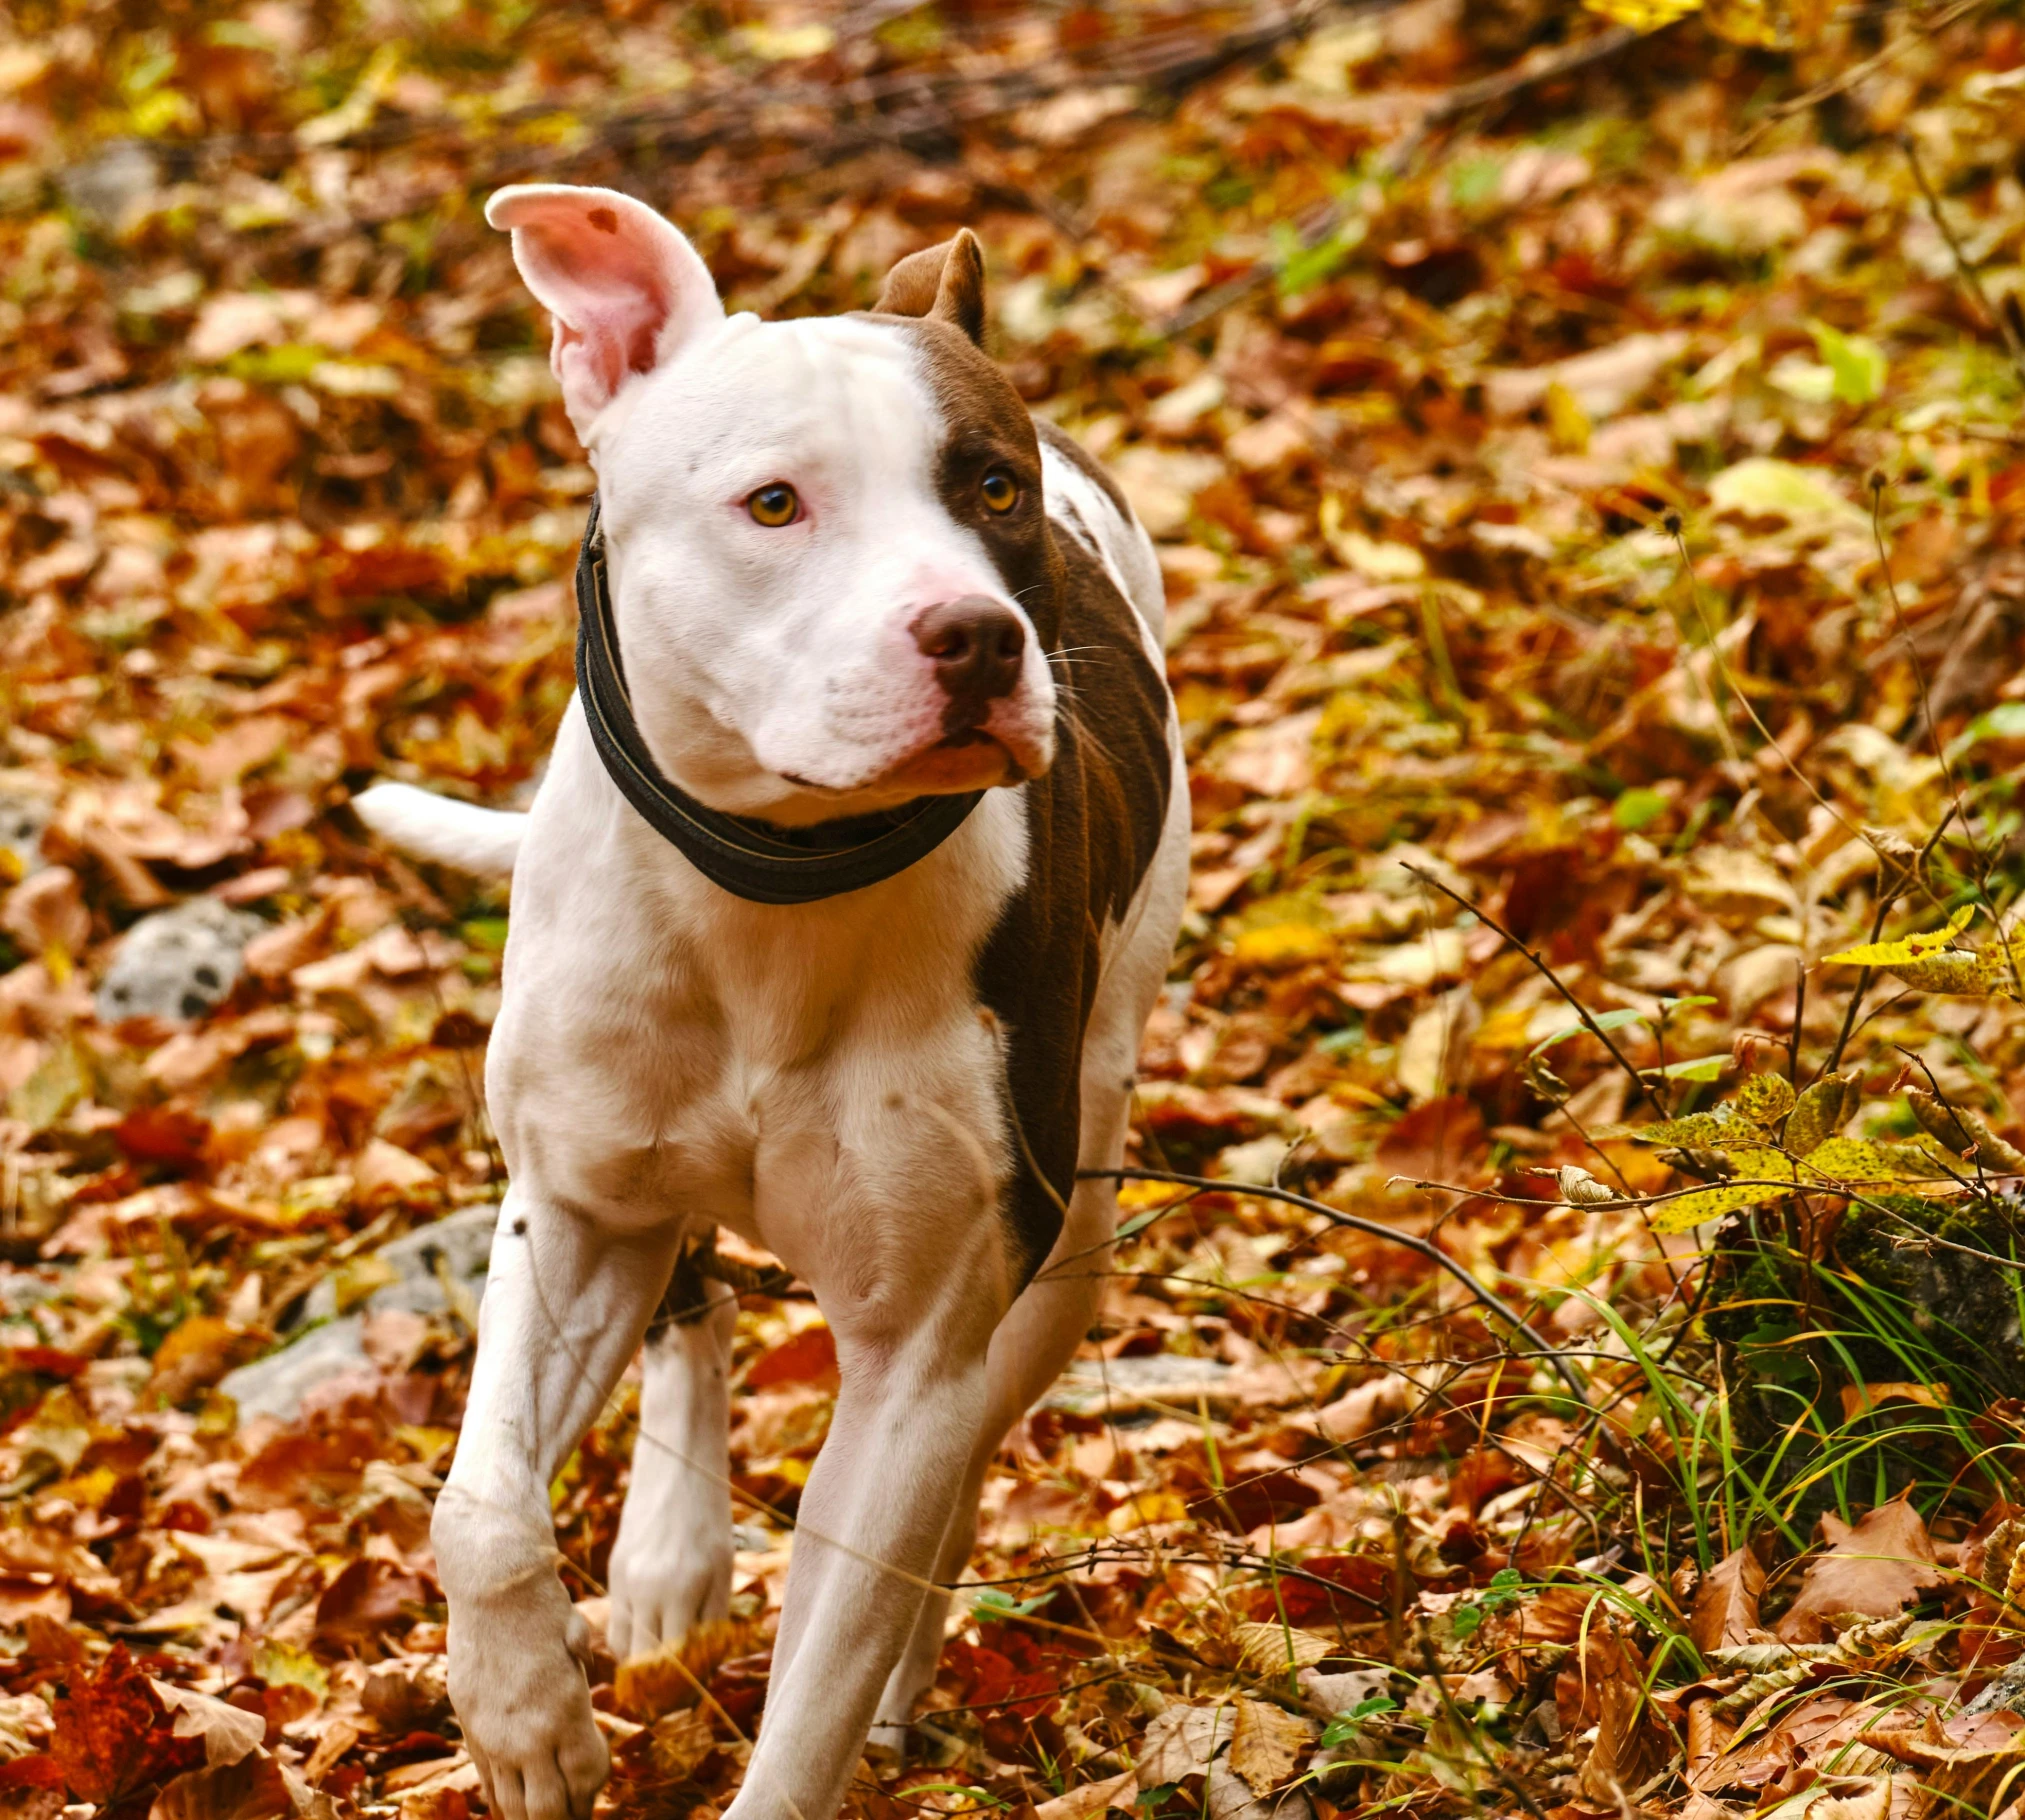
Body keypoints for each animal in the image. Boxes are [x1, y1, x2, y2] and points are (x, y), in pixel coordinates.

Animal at [352, 181, 1182, 1820]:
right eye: (776, 505)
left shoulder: (922, 1351)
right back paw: (666, 1561)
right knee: (693, 1292)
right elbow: (479, 1506)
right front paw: (523, 1715)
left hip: (1075, 1221)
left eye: (991, 488)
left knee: (960, 1464)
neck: (774, 885)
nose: (976, 634)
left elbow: (825, 1663)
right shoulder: (571, 1209)